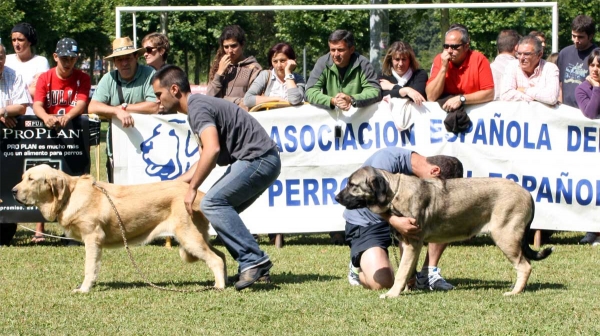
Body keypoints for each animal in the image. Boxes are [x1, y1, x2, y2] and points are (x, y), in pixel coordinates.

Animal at [11, 164, 227, 292]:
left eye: (31, 179)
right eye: (22, 177)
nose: (13, 191)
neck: (69, 195)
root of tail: (198, 193)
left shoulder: (93, 238)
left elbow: (89, 267)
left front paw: (84, 289)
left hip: (189, 237)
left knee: (216, 259)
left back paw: (219, 286)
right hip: (196, 237)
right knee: (222, 256)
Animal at [336, 167, 552, 298]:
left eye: (352, 185)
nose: (336, 197)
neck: (394, 193)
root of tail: (527, 192)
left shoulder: (413, 242)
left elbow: (401, 271)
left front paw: (392, 294)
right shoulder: (406, 242)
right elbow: (406, 270)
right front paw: (406, 289)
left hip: (505, 236)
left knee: (525, 266)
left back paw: (515, 292)